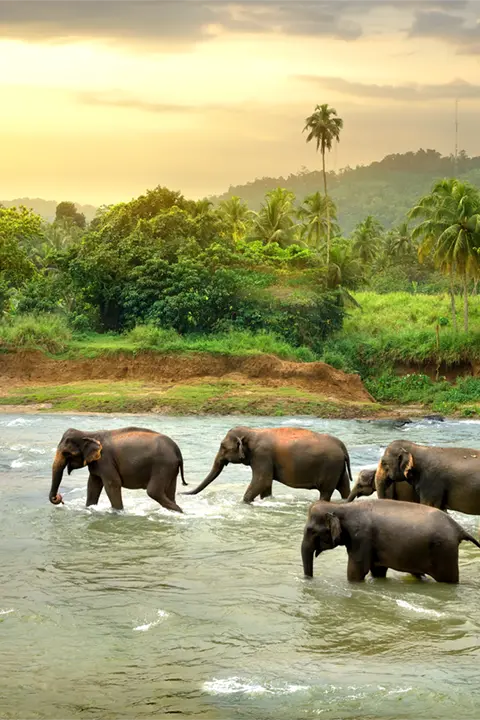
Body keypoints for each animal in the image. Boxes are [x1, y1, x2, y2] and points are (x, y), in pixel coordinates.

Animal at [49, 427, 187, 513]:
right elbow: (93, 484)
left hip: (163, 466)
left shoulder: (105, 460)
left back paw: (180, 512)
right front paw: (89, 508)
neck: (90, 434)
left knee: (153, 492)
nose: (58, 497)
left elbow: (112, 484)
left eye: (66, 453)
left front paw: (117, 512)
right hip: (171, 469)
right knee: (169, 492)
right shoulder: (96, 463)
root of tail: (177, 449)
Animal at [184, 426, 352, 503]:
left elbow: (262, 481)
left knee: (326, 491)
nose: (183, 491)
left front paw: (244, 502)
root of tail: (342, 446)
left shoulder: (261, 456)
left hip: (331, 467)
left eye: (223, 447)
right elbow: (265, 485)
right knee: (344, 488)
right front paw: (266, 500)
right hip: (339, 468)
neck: (252, 432)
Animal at [301, 499, 480, 583]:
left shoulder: (361, 538)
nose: (309, 580)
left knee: (448, 579)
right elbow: (377, 570)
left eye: (311, 531)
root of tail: (459, 529)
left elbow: (356, 571)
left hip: (444, 552)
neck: (340, 506)